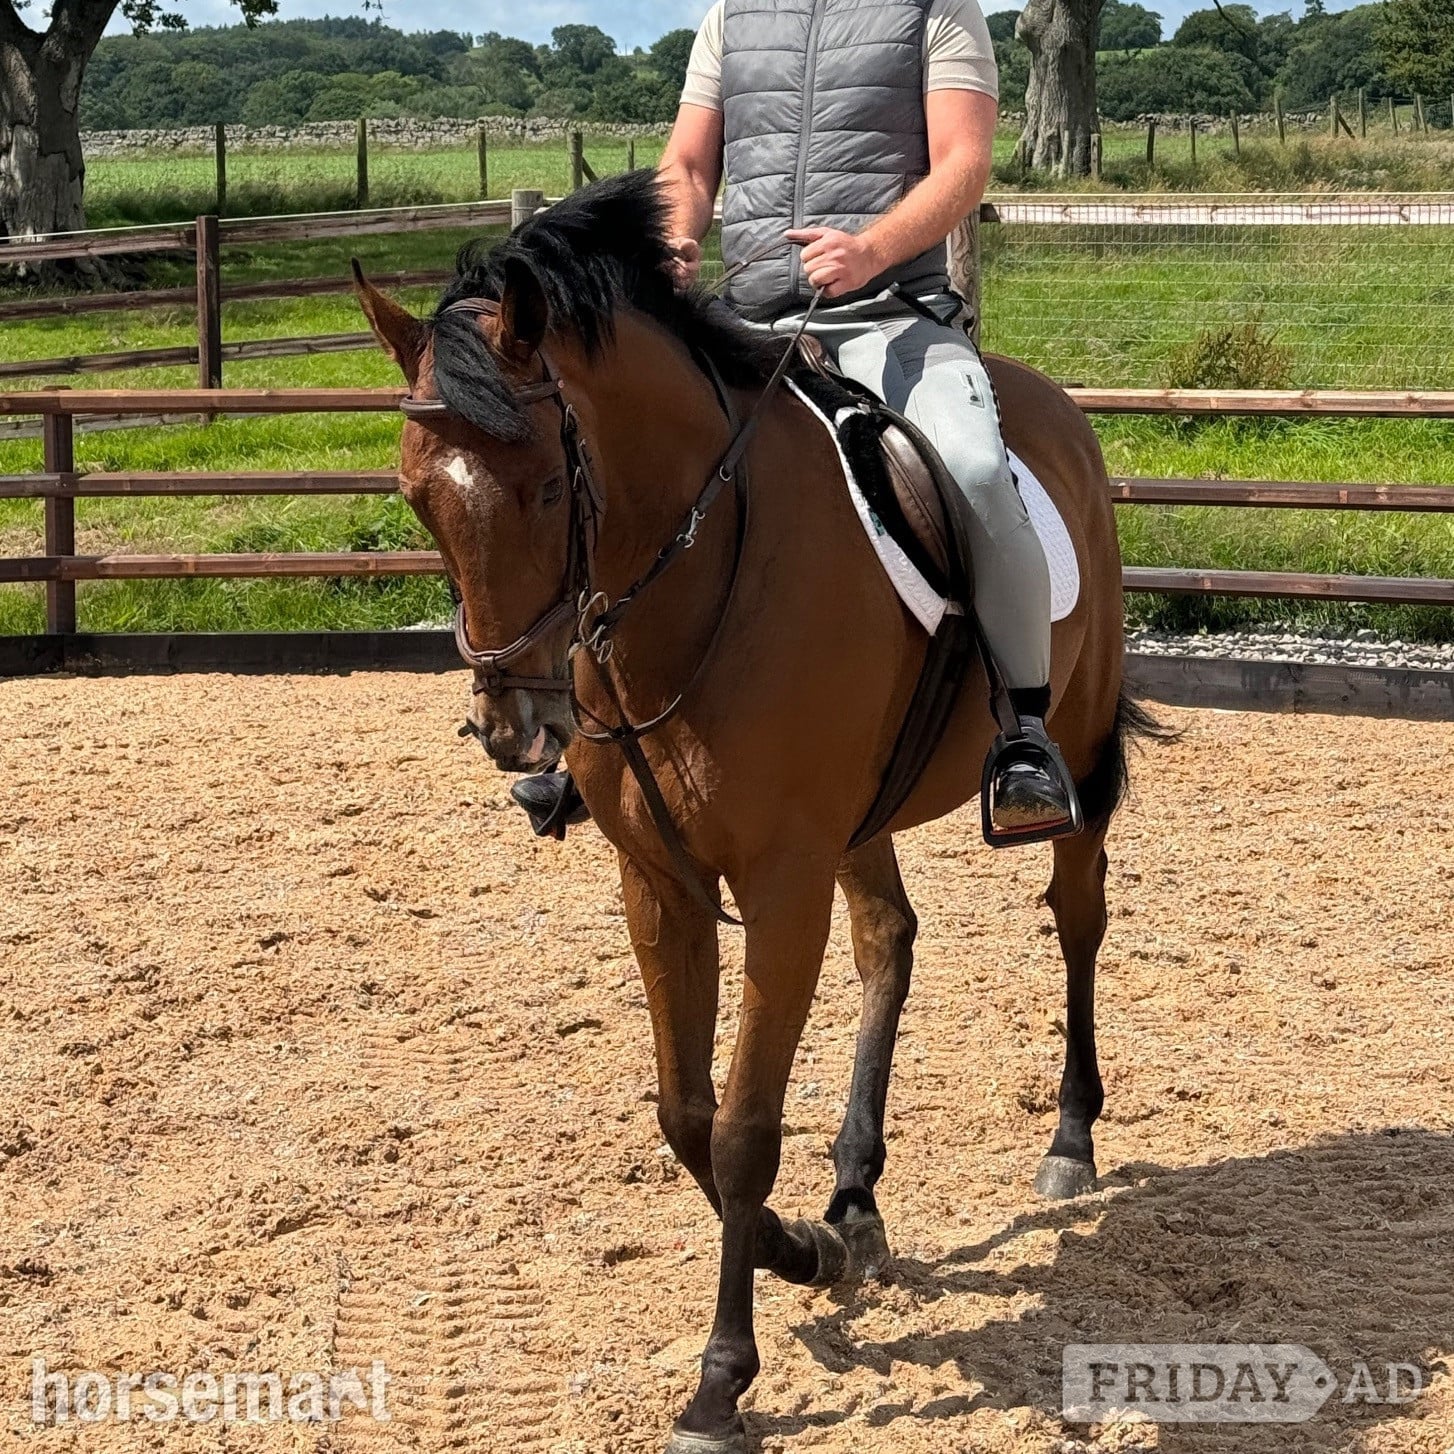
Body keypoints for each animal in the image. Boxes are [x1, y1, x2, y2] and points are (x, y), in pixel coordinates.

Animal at [355, 171, 1156, 1454]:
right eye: (414, 495)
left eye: (546, 482)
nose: (512, 727)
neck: (691, 581)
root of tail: (1049, 408)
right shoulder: (659, 882)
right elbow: (684, 1112)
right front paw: (804, 1246)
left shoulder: (778, 887)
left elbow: (738, 1126)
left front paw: (720, 1378)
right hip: (861, 822)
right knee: (890, 943)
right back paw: (854, 1196)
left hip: (1067, 759)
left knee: (1076, 919)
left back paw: (1069, 1138)